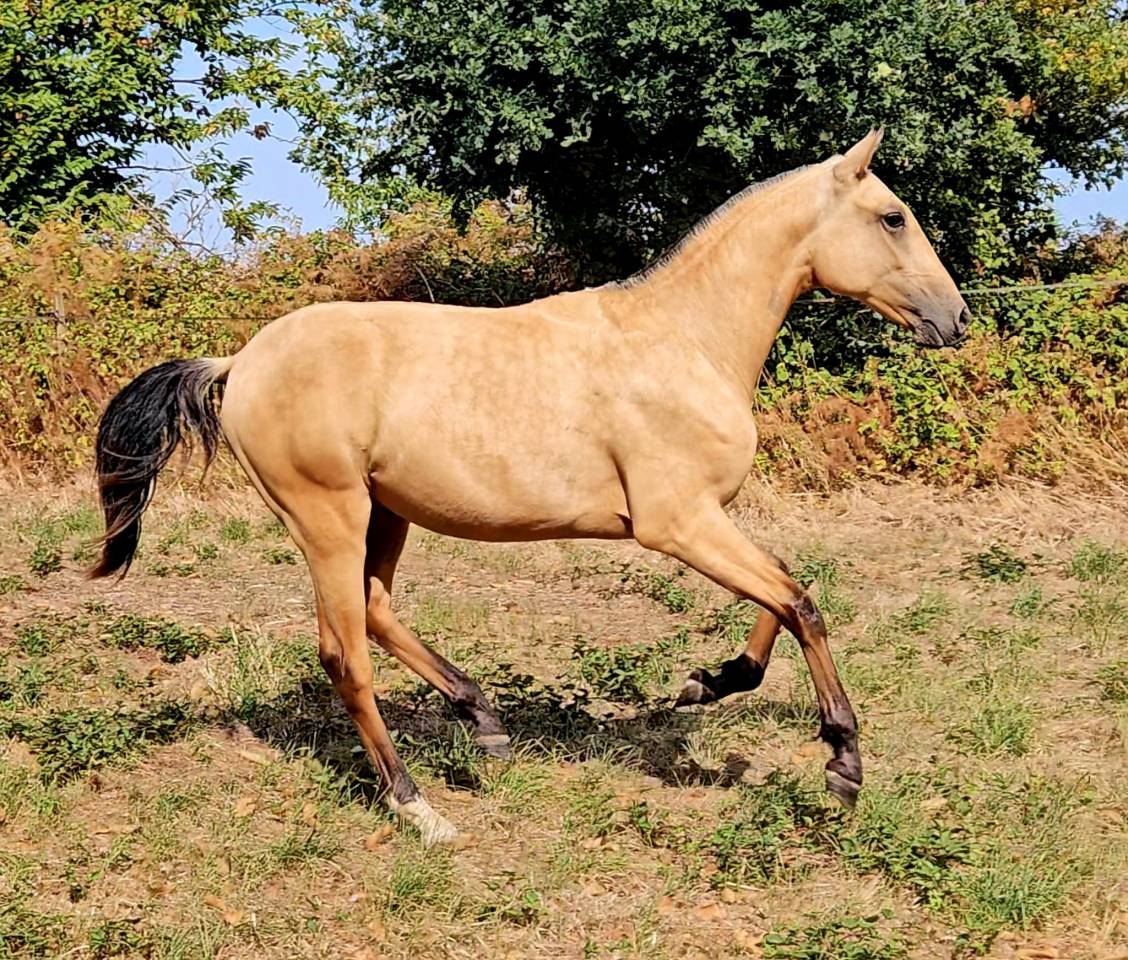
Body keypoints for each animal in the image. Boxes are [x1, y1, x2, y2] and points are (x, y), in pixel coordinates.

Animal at [90, 130, 969, 844]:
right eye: (893, 217)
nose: (955, 319)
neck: (685, 340)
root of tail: (237, 364)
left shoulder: (705, 519)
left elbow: (783, 590)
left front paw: (710, 682)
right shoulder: (677, 522)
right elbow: (800, 602)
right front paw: (843, 765)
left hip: (385, 514)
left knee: (376, 612)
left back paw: (484, 721)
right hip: (327, 515)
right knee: (345, 656)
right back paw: (419, 807)